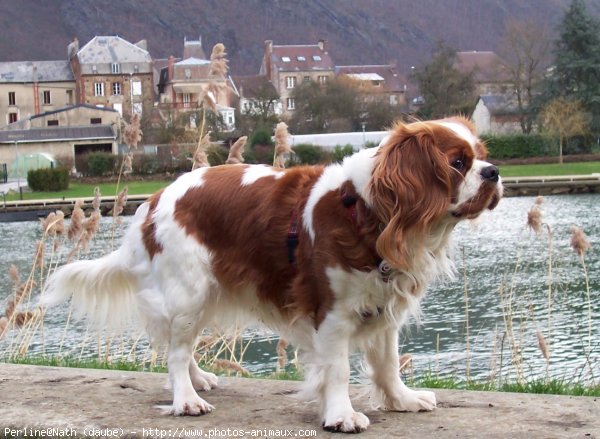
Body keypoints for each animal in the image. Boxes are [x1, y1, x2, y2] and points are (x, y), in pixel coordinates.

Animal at [42, 117, 502, 436]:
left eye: (483, 154)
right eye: (458, 163)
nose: (494, 171)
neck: (371, 211)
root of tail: (153, 200)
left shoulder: (382, 305)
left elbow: (388, 363)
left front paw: (402, 400)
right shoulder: (331, 314)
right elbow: (338, 370)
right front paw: (341, 415)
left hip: (205, 295)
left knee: (180, 346)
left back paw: (198, 380)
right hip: (189, 292)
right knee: (174, 351)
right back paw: (186, 398)